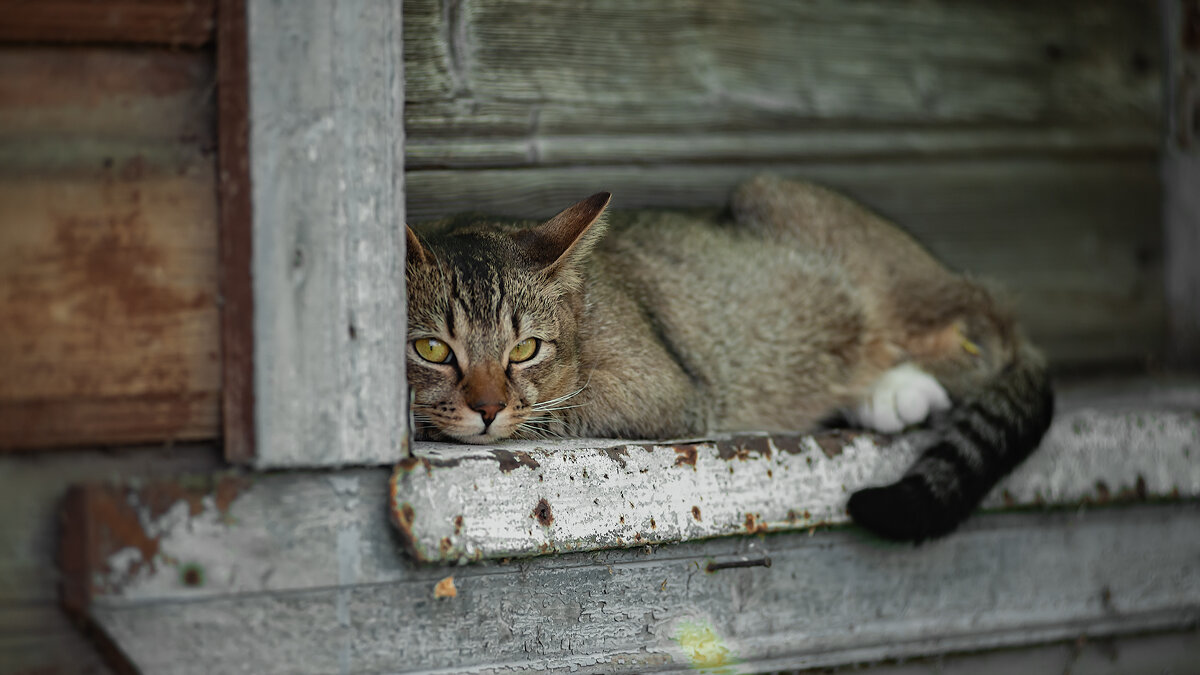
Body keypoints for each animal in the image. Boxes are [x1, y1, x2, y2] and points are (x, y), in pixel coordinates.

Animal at [403, 174, 1051, 540]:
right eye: (432, 348)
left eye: (525, 349)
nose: (487, 407)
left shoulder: (663, 389)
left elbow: (548, 412)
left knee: (989, 339)